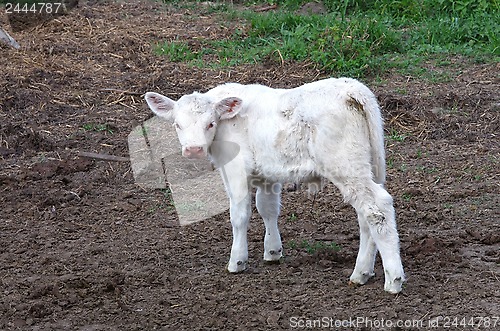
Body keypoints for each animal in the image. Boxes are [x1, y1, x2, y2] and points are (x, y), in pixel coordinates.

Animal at [145, 79, 406, 294]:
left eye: (210, 124)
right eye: (177, 125)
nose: (193, 149)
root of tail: (352, 89)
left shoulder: (235, 168)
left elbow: (239, 214)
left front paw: (237, 260)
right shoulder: (267, 173)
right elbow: (267, 208)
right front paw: (272, 251)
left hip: (346, 165)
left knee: (378, 207)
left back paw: (393, 280)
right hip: (365, 167)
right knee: (366, 215)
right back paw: (362, 273)